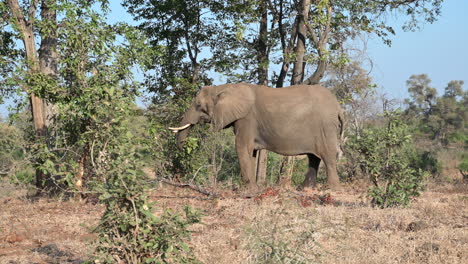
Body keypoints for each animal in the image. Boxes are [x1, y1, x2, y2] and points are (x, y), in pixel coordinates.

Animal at [169, 83, 344, 191]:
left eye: (199, 106)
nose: (183, 147)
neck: (224, 87)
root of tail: (338, 107)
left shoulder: (246, 118)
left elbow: (241, 147)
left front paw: (249, 189)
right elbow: (250, 152)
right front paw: (253, 187)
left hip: (325, 127)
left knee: (327, 156)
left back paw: (331, 188)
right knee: (314, 157)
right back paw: (304, 188)